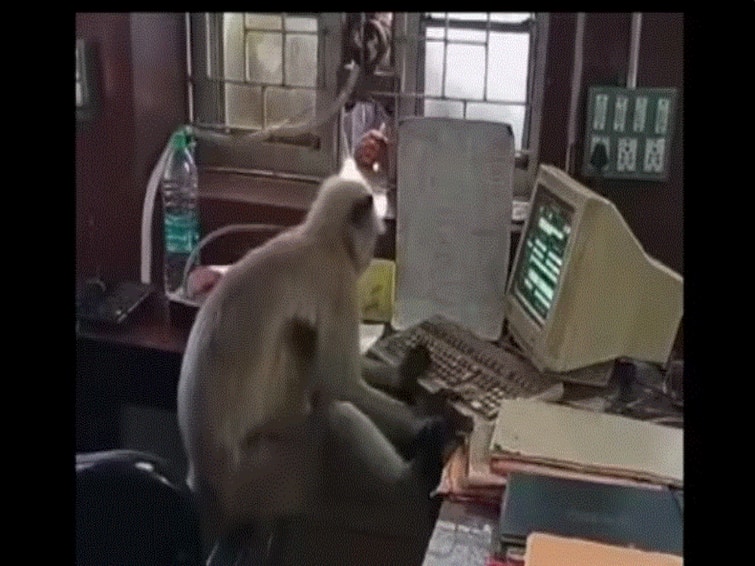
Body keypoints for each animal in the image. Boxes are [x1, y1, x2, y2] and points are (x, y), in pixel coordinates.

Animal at [177, 161, 434, 560]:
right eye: (374, 236)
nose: (368, 254)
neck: (318, 239)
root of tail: (205, 487)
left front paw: (403, 374)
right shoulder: (339, 283)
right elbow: (339, 380)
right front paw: (422, 421)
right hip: (276, 473)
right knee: (334, 413)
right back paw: (415, 474)